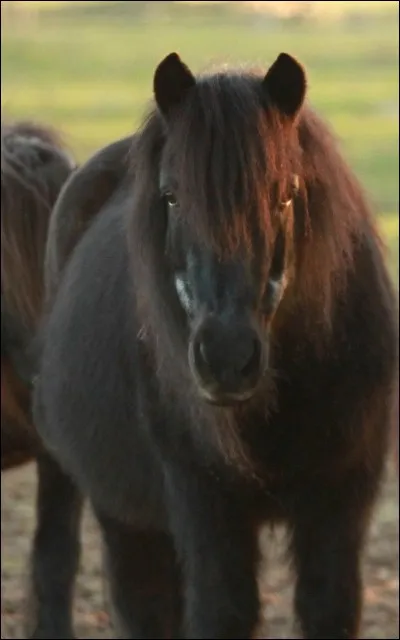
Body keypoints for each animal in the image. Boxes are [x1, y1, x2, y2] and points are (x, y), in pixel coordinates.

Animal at [33, 52, 399, 639]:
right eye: (172, 196)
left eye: (284, 193)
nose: (227, 358)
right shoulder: (206, 510)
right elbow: (222, 611)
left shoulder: (339, 506)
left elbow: (328, 606)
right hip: (126, 518)